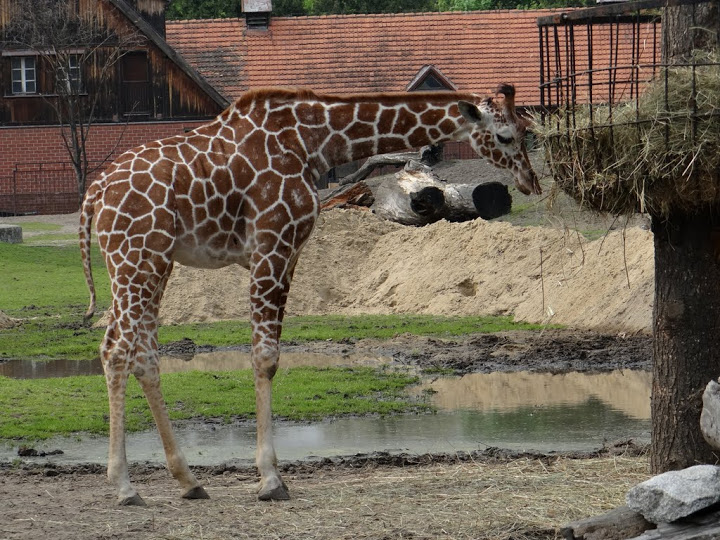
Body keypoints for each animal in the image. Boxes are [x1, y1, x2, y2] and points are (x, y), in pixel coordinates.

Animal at [79, 84, 541, 505]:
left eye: (525, 129)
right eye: (505, 135)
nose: (529, 181)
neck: (314, 144)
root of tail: (94, 194)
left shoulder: (292, 252)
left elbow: (265, 356)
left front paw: (266, 476)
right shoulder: (273, 244)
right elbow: (265, 358)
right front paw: (271, 480)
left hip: (152, 262)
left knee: (137, 354)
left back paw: (188, 481)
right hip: (137, 258)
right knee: (117, 350)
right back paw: (125, 488)